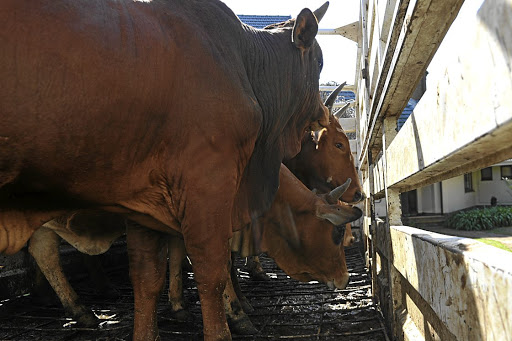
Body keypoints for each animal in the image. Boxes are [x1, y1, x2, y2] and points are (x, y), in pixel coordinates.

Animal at [0, 1, 332, 338]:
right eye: (319, 62)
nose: (323, 115)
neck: (244, 61)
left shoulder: (142, 202)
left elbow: (146, 277)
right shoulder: (208, 187)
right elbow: (212, 273)